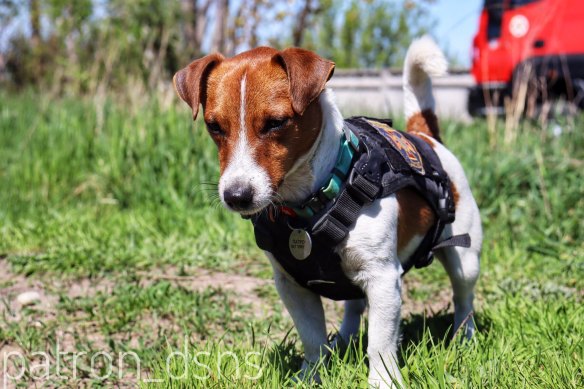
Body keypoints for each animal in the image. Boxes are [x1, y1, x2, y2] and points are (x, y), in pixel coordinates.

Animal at [175, 35, 484, 384]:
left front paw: (383, 382)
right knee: (354, 305)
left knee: (463, 299)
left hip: (465, 259)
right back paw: (345, 338)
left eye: (276, 123)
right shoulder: (292, 285)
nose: (236, 195)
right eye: (214, 126)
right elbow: (312, 338)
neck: (309, 205)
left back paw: (465, 338)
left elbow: (380, 343)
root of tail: (424, 135)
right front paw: (310, 375)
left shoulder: (383, 279)